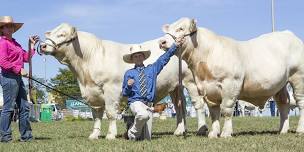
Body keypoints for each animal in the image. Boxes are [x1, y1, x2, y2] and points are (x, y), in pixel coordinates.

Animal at [39, 23, 208, 140]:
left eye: (62, 34)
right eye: (51, 32)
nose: (43, 45)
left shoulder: (111, 90)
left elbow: (110, 113)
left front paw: (110, 135)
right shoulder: (92, 93)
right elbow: (96, 115)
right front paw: (94, 135)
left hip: (191, 81)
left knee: (198, 104)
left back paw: (201, 129)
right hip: (175, 86)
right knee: (180, 107)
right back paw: (179, 131)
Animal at [159, 17, 304, 138]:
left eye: (181, 28)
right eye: (169, 29)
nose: (162, 41)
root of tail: (289, 34)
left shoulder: (231, 84)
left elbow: (226, 110)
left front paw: (226, 133)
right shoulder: (208, 90)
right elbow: (214, 113)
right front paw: (213, 133)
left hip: (298, 77)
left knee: (300, 102)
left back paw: (300, 130)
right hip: (281, 84)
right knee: (283, 103)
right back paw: (282, 130)